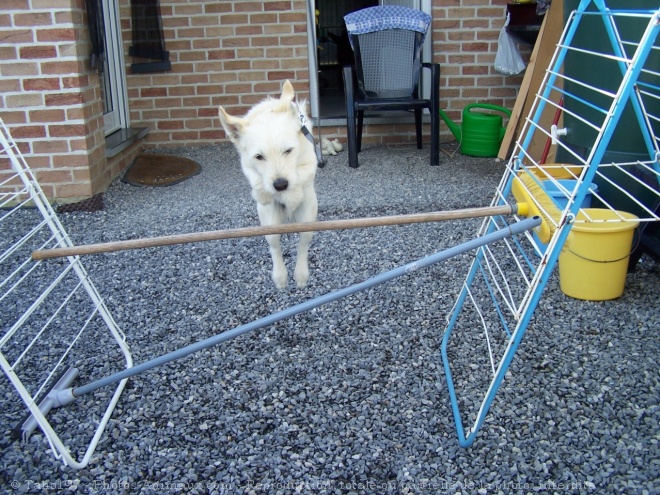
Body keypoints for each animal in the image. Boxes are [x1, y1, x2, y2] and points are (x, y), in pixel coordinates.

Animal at [218, 81, 318, 288]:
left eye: (288, 150)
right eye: (259, 157)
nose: (280, 185)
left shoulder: (310, 162)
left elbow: (300, 176)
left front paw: (292, 195)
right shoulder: (247, 166)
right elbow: (258, 182)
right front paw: (265, 193)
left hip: (308, 216)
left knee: (303, 242)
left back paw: (300, 274)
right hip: (268, 220)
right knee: (274, 242)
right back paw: (280, 276)